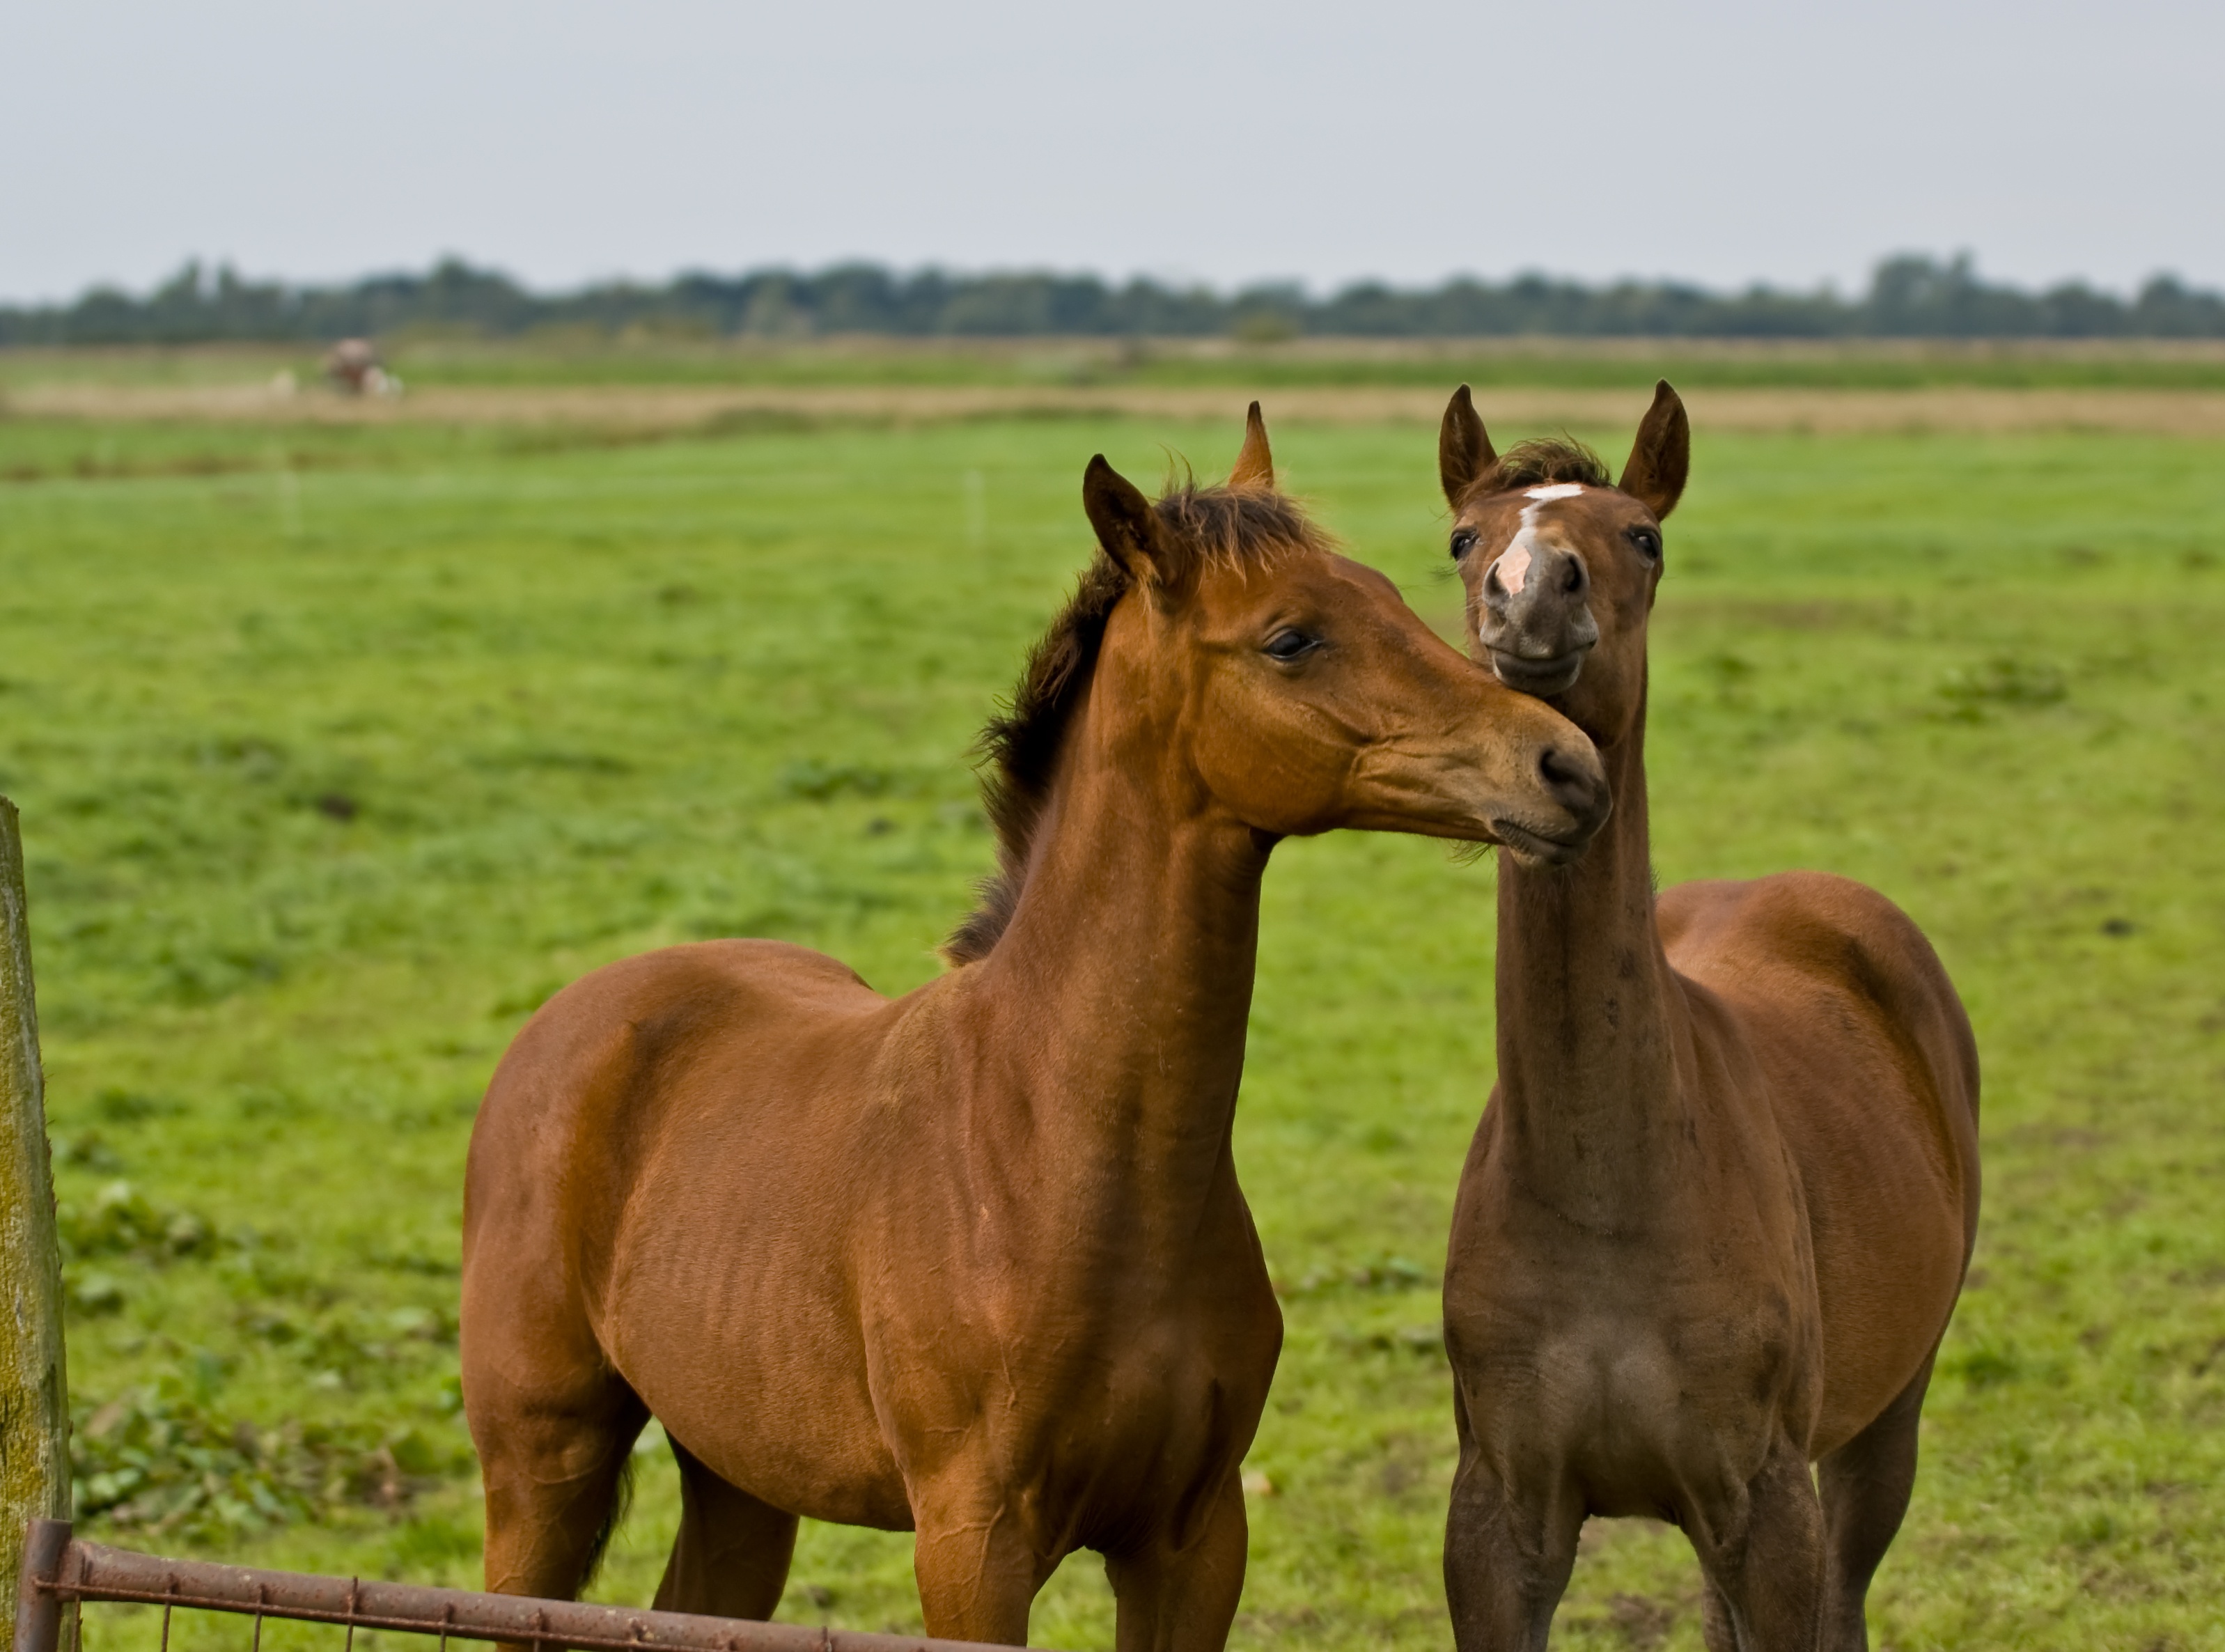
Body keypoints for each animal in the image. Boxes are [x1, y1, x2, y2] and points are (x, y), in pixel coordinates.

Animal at [461, 406, 1613, 1652]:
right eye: (1290, 639)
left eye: (1394, 593)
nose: (1564, 768)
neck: (1057, 1150)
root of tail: (573, 1015)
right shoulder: (972, 1547)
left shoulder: (1192, 1540)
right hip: (543, 1466)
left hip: (738, 1474)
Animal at [1434, 384, 1981, 1652]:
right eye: (1463, 539)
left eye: (1642, 537)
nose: (1529, 596)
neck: (1603, 1194)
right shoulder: (1497, 1523)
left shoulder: (1763, 1508)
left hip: (1883, 1423)